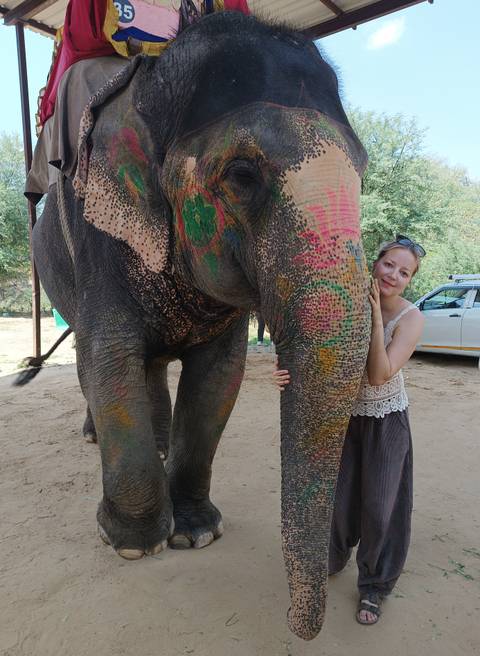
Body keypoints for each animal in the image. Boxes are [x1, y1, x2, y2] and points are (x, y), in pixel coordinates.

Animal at [30, 11, 370, 640]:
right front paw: (133, 543)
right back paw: (96, 438)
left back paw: (162, 444)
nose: (301, 627)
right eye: (242, 174)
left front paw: (196, 532)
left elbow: (219, 377)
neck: (151, 80)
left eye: (362, 170)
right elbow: (107, 358)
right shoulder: (97, 238)